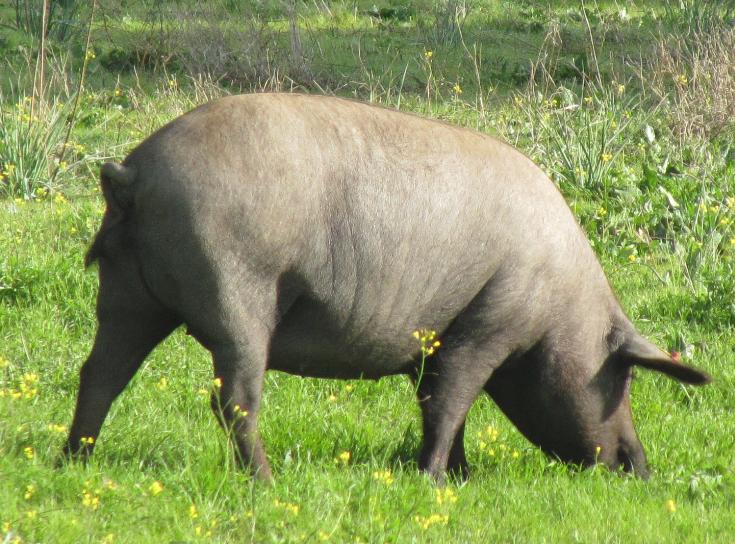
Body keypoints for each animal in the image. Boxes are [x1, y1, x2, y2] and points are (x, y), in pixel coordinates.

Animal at [64, 92, 712, 480]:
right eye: (623, 376)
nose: (639, 466)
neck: (560, 306)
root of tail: (131, 173)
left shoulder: (432, 343)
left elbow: (437, 404)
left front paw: (460, 475)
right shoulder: (488, 325)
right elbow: (453, 400)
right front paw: (434, 480)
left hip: (125, 292)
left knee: (99, 374)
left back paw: (74, 462)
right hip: (235, 295)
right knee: (233, 398)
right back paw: (267, 483)